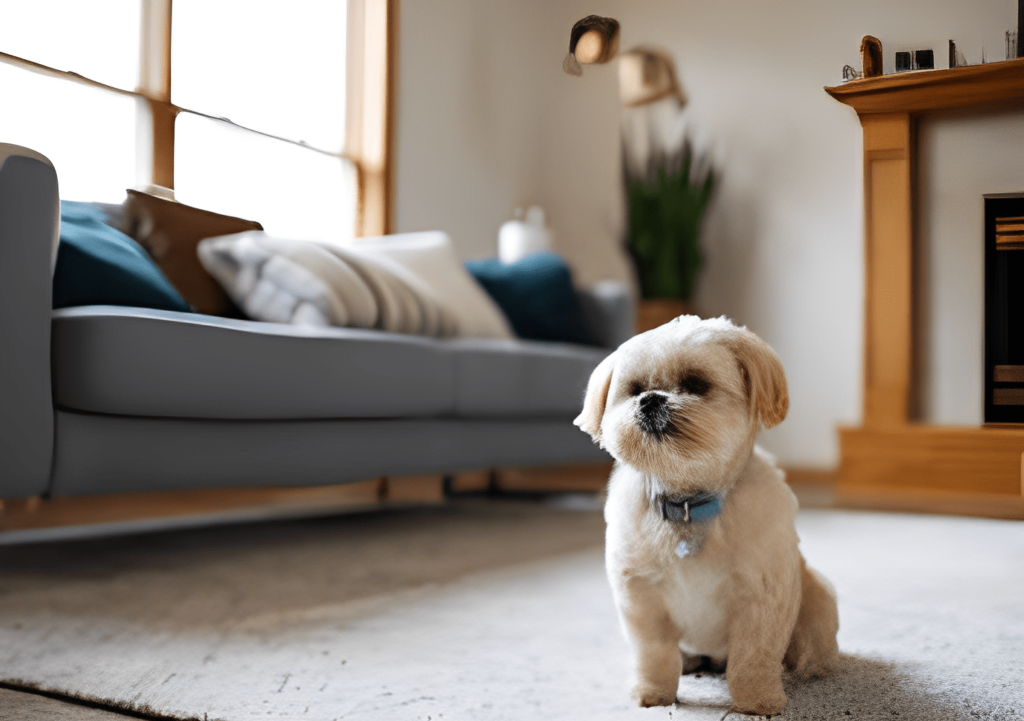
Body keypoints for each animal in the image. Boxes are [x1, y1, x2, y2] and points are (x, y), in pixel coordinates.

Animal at [573, 313, 835, 716]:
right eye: (635, 390)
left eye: (695, 384)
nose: (651, 400)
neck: (688, 503)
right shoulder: (642, 600)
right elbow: (656, 658)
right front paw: (654, 694)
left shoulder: (761, 601)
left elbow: (751, 660)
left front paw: (757, 700)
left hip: (817, 599)